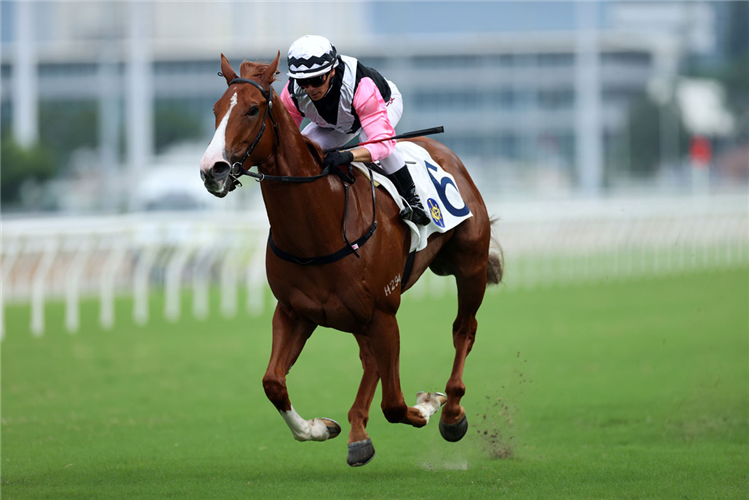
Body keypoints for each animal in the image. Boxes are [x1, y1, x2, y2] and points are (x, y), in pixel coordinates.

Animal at [200, 52, 502, 466]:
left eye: (251, 109)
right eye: (216, 110)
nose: (211, 169)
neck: (320, 229)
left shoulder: (383, 312)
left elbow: (396, 404)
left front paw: (428, 403)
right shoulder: (295, 311)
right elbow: (273, 382)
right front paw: (320, 428)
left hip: (468, 267)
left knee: (463, 331)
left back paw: (452, 411)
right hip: (357, 315)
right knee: (370, 360)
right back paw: (358, 433)